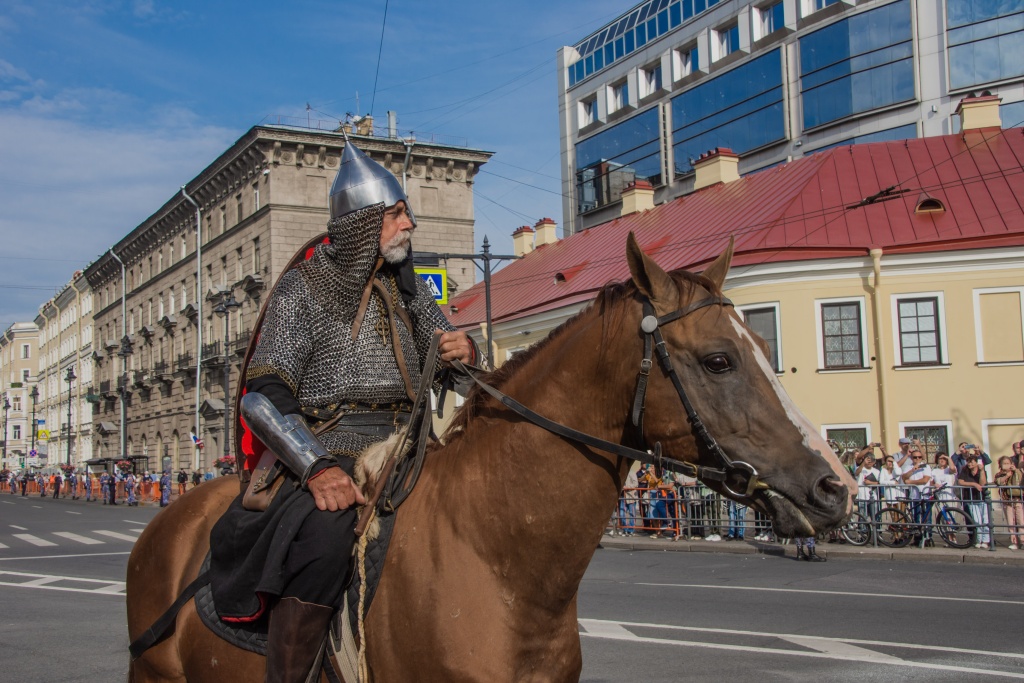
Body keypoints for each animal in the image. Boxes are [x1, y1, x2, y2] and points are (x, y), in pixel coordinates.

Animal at [123, 236, 851, 683]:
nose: (834, 486)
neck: (495, 553)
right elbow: (264, 393)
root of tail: (171, 518)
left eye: (764, 343)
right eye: (719, 359)